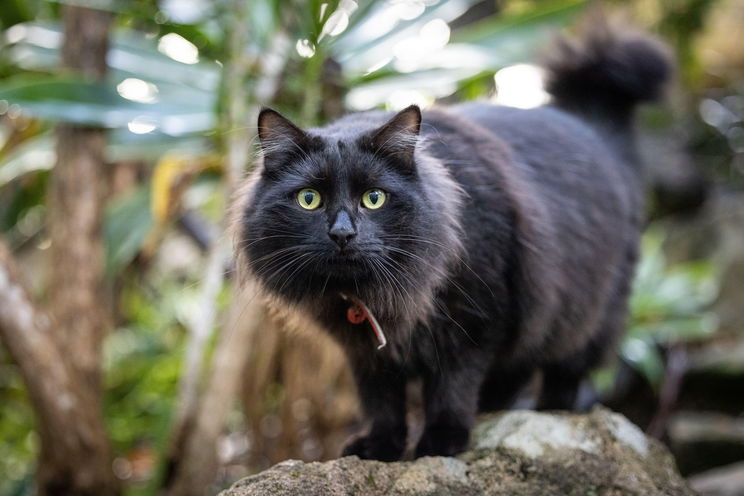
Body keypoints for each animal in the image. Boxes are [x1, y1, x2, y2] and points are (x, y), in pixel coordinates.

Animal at [234, 21, 676, 460]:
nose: (343, 233)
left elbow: (452, 387)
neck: (370, 299)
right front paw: (380, 444)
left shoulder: (475, 322)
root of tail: (590, 127)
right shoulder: (366, 354)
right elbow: (381, 400)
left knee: (563, 373)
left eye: (373, 198)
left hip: (585, 318)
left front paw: (442, 440)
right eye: (310, 199)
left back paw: (549, 410)